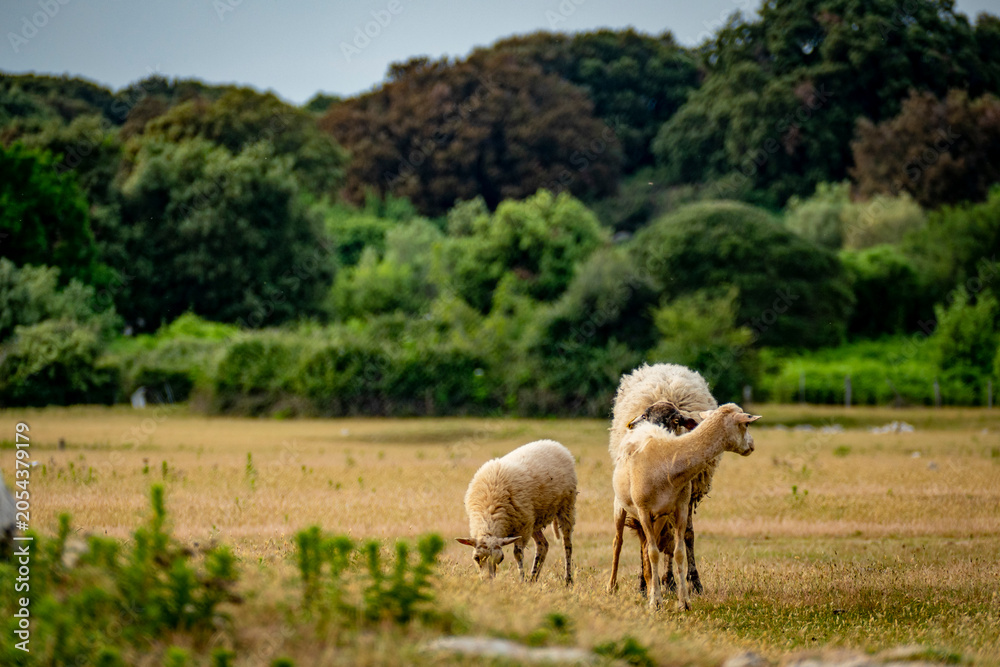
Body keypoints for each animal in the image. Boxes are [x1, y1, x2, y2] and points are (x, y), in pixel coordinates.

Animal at [457, 439, 577, 585]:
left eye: (501, 559)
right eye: (476, 558)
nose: (487, 581)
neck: (490, 512)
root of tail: (554, 444)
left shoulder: (523, 530)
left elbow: (518, 554)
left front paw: (521, 580)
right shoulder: (525, 524)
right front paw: (525, 580)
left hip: (566, 506)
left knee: (567, 544)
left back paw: (568, 580)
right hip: (533, 519)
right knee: (543, 545)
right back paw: (533, 579)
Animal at [608, 403, 760, 610]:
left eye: (676, 420)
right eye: (746, 425)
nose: (752, 445)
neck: (668, 460)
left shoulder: (680, 509)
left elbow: (678, 552)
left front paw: (684, 602)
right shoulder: (643, 510)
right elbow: (653, 553)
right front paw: (655, 602)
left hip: (660, 517)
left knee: (647, 546)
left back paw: (649, 586)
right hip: (621, 504)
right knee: (618, 542)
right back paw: (612, 587)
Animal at [609, 363, 718, 596]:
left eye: (675, 420)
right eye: (645, 416)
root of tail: (663, 366)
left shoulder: (686, 496)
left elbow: (686, 535)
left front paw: (694, 582)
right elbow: (648, 539)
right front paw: (645, 583)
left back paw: (669, 580)